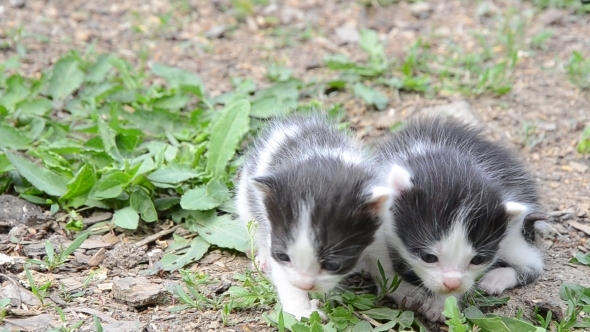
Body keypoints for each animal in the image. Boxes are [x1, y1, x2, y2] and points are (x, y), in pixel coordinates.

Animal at [236, 114, 408, 320]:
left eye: (333, 265)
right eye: (283, 256)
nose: (304, 285)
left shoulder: (375, 229)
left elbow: (381, 258)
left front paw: (402, 289)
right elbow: (284, 278)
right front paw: (301, 311)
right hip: (244, 200)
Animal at [376, 116, 548, 322]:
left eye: (478, 260)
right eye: (428, 257)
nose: (452, 284)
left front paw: (442, 304)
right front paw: (401, 289)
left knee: (534, 262)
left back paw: (497, 278)